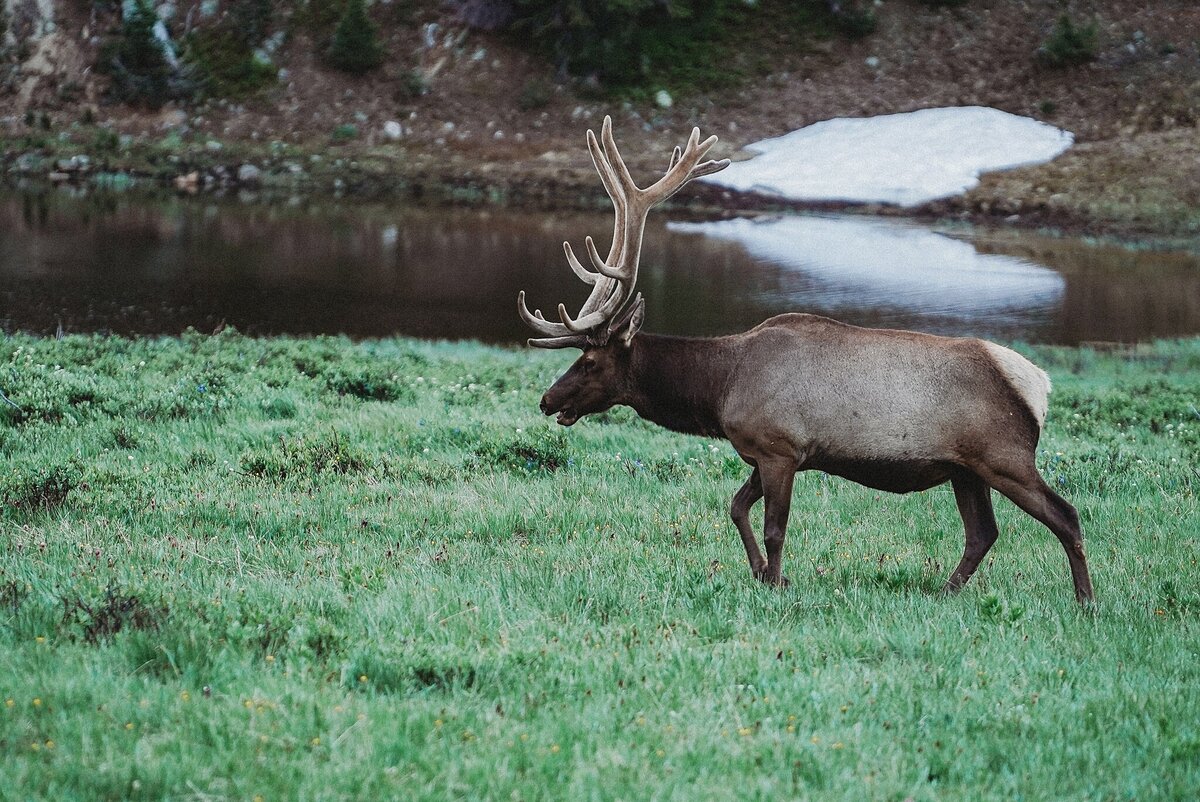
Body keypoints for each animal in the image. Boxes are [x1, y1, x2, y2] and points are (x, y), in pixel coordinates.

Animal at [516, 115, 1099, 605]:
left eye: (590, 361)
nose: (547, 400)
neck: (720, 389)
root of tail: (1038, 385)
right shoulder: (763, 453)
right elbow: (735, 507)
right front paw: (761, 572)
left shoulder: (781, 447)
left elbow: (774, 526)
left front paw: (775, 581)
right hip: (965, 467)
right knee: (982, 533)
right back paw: (945, 592)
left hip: (1005, 454)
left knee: (1065, 515)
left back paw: (1085, 601)